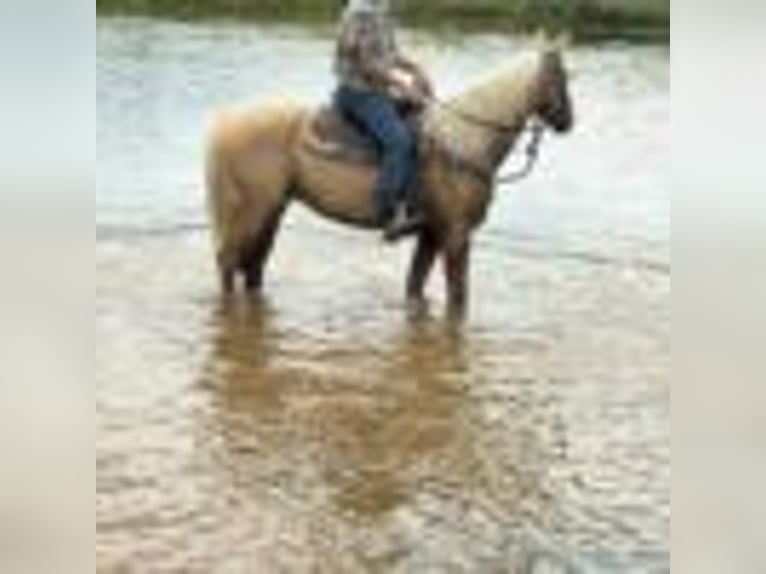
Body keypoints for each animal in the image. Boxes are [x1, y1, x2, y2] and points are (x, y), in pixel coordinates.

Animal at [206, 38, 574, 318]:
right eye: (562, 78)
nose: (569, 122)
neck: (463, 140)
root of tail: (227, 123)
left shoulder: (431, 232)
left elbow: (415, 286)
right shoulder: (456, 234)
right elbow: (458, 297)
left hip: (272, 210)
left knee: (253, 267)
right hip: (251, 211)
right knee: (228, 262)